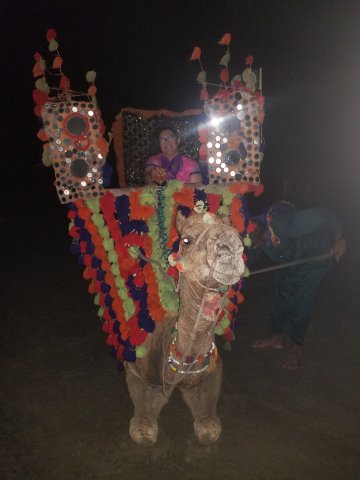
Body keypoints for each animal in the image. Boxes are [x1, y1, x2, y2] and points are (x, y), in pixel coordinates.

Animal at [125, 210, 246, 446]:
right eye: (186, 240)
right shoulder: (135, 369)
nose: (230, 247)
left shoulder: (213, 371)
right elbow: (144, 431)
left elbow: (208, 428)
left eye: (238, 234)